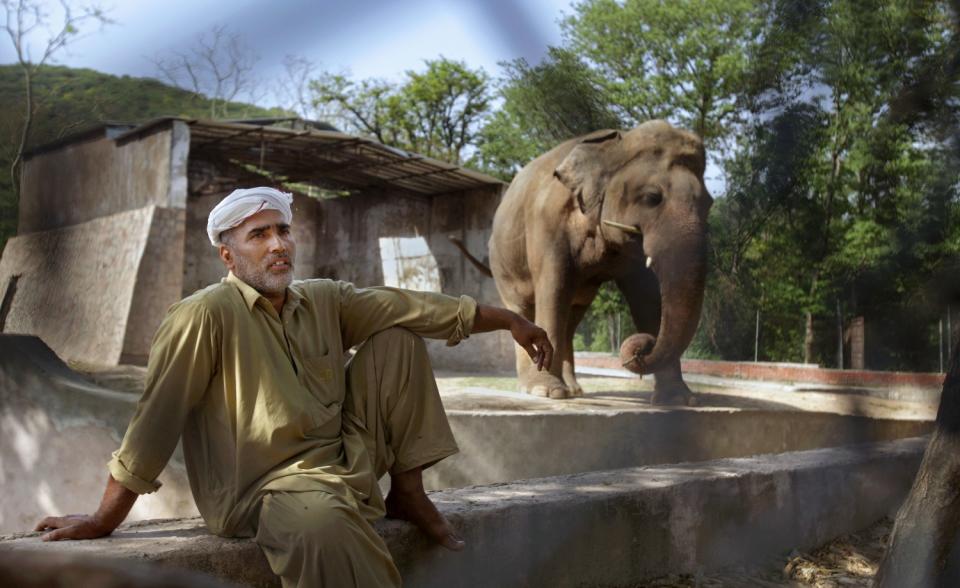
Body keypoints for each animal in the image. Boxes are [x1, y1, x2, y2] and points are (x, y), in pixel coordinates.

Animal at [458, 119, 712, 404]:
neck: (615, 145)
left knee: (571, 319)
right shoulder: (547, 225)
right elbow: (553, 289)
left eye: (709, 204)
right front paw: (549, 392)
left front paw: (679, 399)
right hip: (503, 266)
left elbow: (646, 298)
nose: (640, 349)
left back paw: (574, 389)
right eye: (651, 198)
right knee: (523, 309)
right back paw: (533, 388)